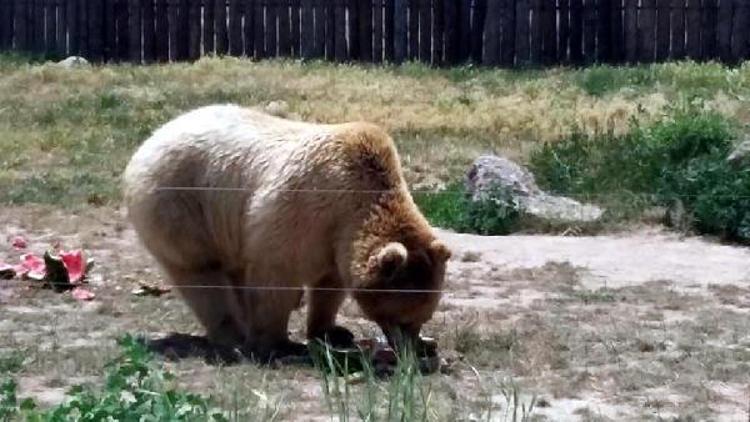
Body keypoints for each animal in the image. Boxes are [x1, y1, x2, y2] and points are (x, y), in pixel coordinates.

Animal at [122, 104, 452, 362]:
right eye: (402, 319)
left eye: (423, 317)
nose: (413, 348)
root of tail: (150, 139)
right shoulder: (302, 212)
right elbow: (276, 275)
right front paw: (278, 342)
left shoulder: (334, 238)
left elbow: (329, 286)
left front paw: (332, 331)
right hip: (180, 203)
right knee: (201, 273)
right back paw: (233, 335)